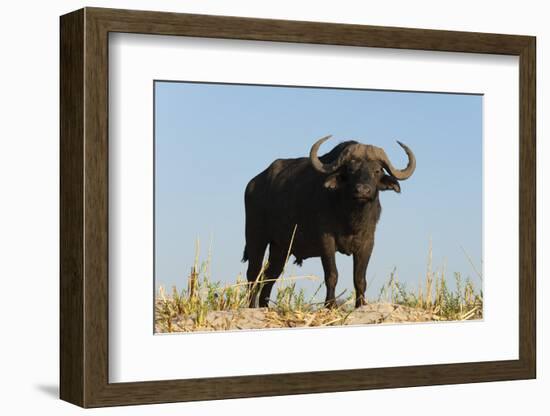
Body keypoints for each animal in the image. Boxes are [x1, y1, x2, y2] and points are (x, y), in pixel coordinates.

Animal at [244, 136, 416, 308]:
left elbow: (360, 279)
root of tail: (253, 184)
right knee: (253, 274)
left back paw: (264, 306)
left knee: (269, 277)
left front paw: (361, 304)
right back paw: (252, 306)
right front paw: (330, 304)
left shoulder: (367, 242)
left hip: (281, 248)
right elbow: (332, 274)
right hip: (256, 238)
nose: (362, 190)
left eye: (377, 171)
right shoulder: (326, 240)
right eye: (351, 170)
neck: (350, 217)